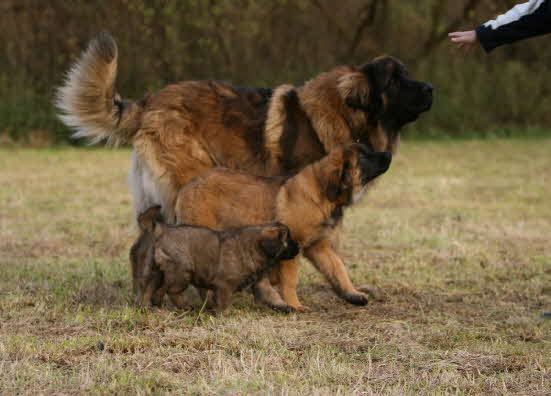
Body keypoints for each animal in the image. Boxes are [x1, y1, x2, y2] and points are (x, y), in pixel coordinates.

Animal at [130, 206, 300, 310]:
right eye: (288, 240)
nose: (299, 247)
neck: (254, 247)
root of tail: (162, 230)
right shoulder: (224, 284)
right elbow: (223, 301)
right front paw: (223, 313)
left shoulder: (259, 282)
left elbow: (271, 295)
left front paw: (286, 307)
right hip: (182, 272)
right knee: (169, 291)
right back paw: (180, 306)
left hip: (156, 272)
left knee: (149, 289)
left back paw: (146, 307)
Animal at [175, 144, 390, 310]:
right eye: (363, 157)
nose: (388, 154)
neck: (321, 195)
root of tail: (187, 187)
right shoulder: (293, 248)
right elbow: (290, 280)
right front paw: (295, 305)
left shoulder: (319, 246)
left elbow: (337, 269)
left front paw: (352, 294)